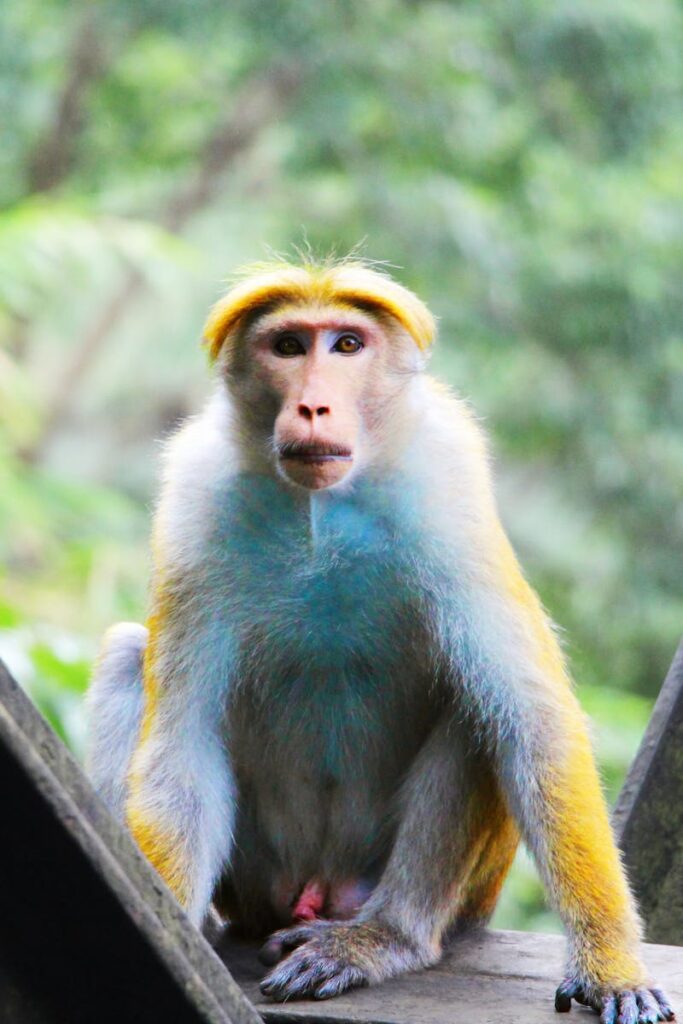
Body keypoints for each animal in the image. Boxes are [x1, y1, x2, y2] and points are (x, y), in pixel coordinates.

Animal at [86, 257, 674, 1023]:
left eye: (345, 345)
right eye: (287, 346)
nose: (313, 406)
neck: (320, 511)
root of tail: (321, 891)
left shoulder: (450, 489)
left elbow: (531, 720)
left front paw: (611, 969)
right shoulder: (193, 504)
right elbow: (180, 744)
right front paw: (166, 933)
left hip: (452, 893)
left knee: (474, 702)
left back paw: (384, 937)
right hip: (258, 880)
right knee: (130, 658)